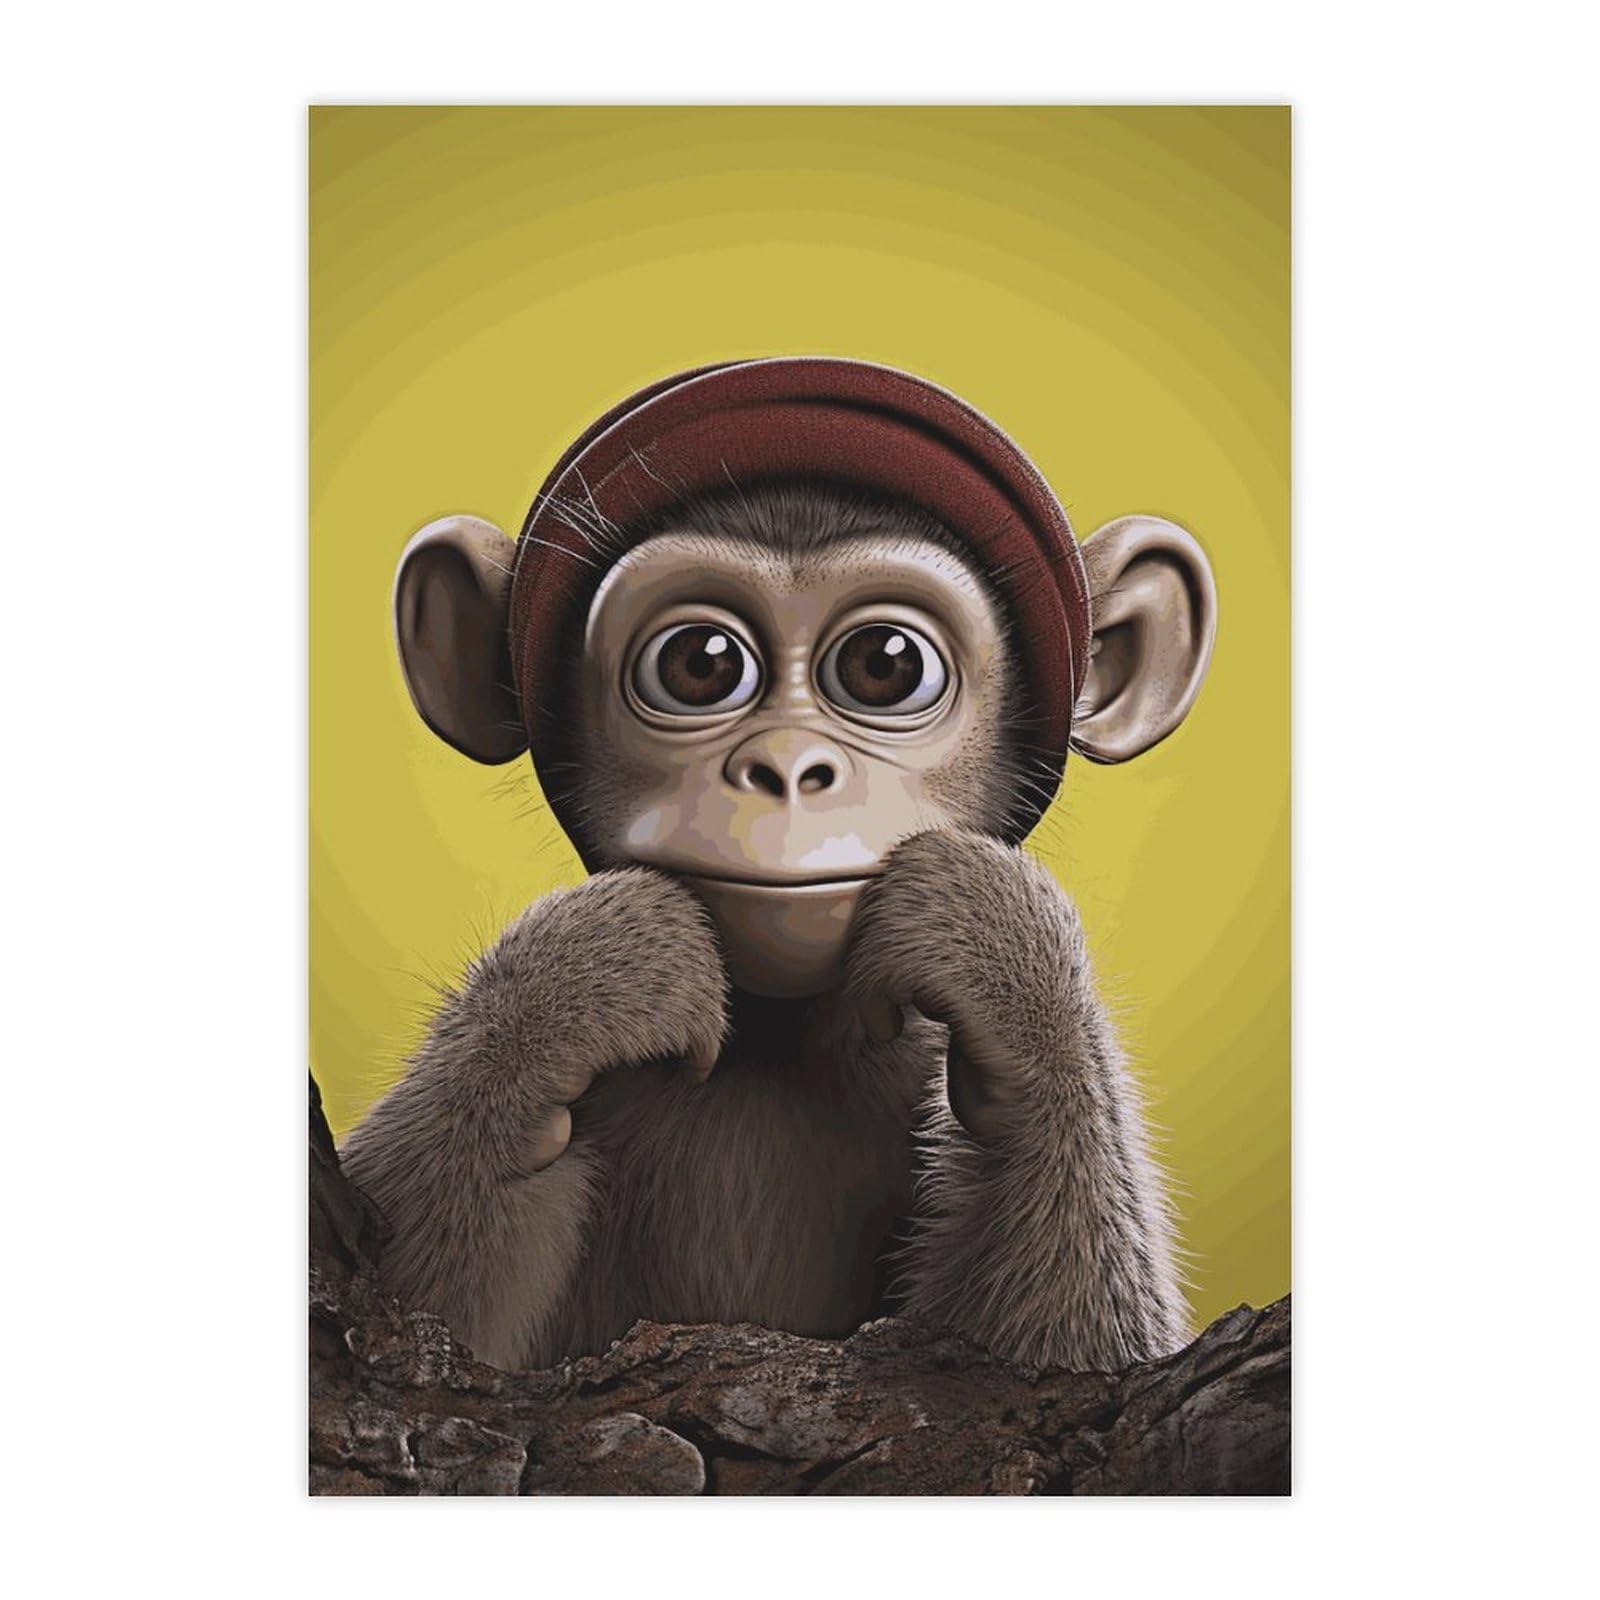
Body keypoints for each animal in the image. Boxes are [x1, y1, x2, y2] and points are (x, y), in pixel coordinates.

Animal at [339, 358, 1217, 1376]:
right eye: (700, 663)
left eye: (885, 664)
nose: (788, 769)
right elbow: (410, 1330)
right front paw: (571, 983)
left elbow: (1070, 1361)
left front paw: (1002, 954)